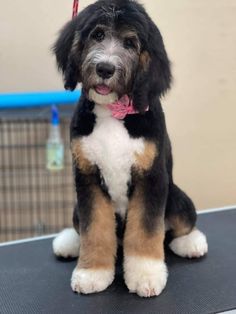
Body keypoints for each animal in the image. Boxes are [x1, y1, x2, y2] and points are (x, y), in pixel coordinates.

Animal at [52, 0, 207, 296]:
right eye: (98, 35)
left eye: (130, 43)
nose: (105, 68)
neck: (113, 111)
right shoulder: (87, 177)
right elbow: (93, 228)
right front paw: (92, 272)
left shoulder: (152, 178)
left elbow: (146, 230)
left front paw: (146, 274)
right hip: (76, 207)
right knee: (79, 227)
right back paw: (69, 242)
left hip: (176, 196)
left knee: (179, 225)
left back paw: (191, 242)